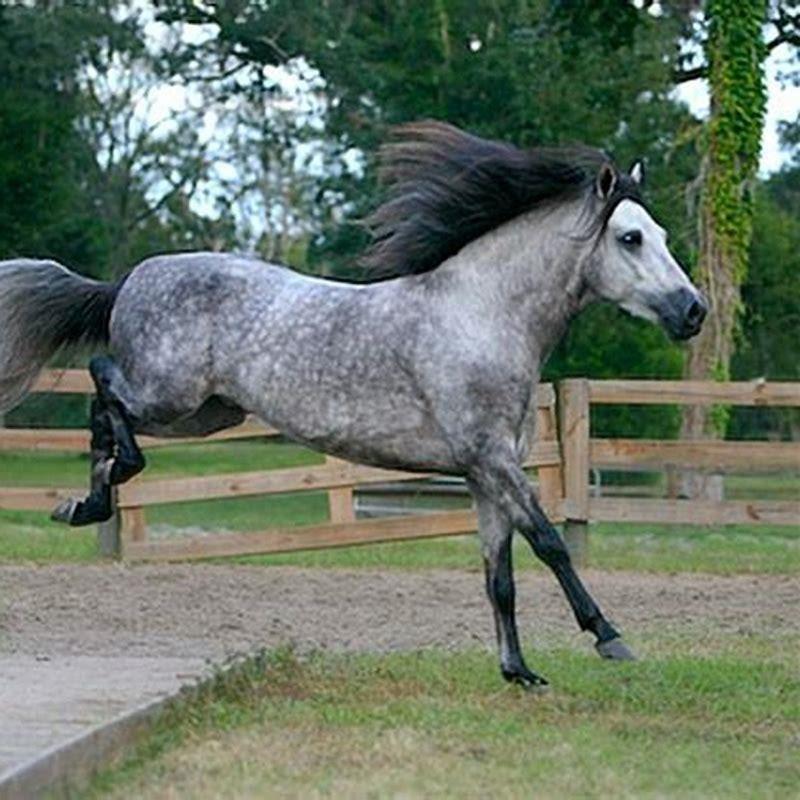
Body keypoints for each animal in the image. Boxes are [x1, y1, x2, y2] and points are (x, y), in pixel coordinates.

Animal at [0, 122, 707, 688]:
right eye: (631, 238)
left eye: (660, 233)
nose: (694, 311)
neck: (480, 317)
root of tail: (128, 279)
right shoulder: (494, 463)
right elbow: (552, 544)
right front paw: (610, 638)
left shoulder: (485, 476)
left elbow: (499, 575)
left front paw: (519, 672)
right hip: (170, 394)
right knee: (102, 381)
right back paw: (101, 489)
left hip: (207, 411)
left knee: (105, 399)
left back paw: (87, 499)